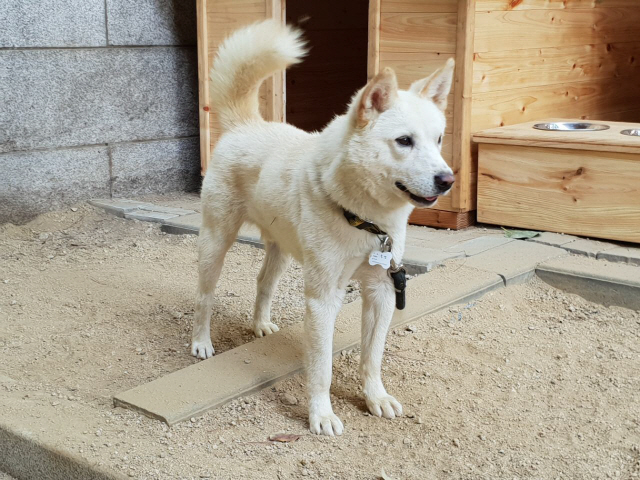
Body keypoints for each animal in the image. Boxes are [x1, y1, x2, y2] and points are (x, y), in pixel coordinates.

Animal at [190, 20, 456, 436]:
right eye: (404, 141)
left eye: (439, 139)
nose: (448, 180)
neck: (366, 221)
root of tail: (246, 125)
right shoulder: (323, 297)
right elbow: (322, 367)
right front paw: (322, 414)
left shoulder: (381, 290)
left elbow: (372, 357)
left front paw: (375, 398)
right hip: (216, 242)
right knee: (204, 296)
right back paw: (201, 343)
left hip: (281, 250)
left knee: (263, 283)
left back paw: (261, 324)